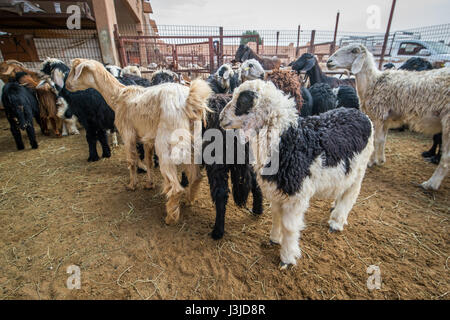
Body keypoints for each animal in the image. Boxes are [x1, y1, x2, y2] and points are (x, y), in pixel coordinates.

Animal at [221, 79, 372, 268]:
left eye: (242, 101)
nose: (220, 118)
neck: (287, 140)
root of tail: (360, 114)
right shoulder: (277, 191)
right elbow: (276, 215)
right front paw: (274, 238)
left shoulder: (296, 195)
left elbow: (289, 226)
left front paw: (287, 257)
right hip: (346, 171)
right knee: (343, 190)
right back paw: (334, 207)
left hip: (360, 169)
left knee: (351, 194)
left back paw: (337, 221)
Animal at [326, 45, 450, 190]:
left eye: (353, 51)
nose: (329, 62)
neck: (373, 82)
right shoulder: (386, 118)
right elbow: (383, 139)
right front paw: (381, 159)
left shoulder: (379, 114)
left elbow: (377, 140)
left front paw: (371, 161)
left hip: (448, 121)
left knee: (446, 156)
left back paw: (431, 183)